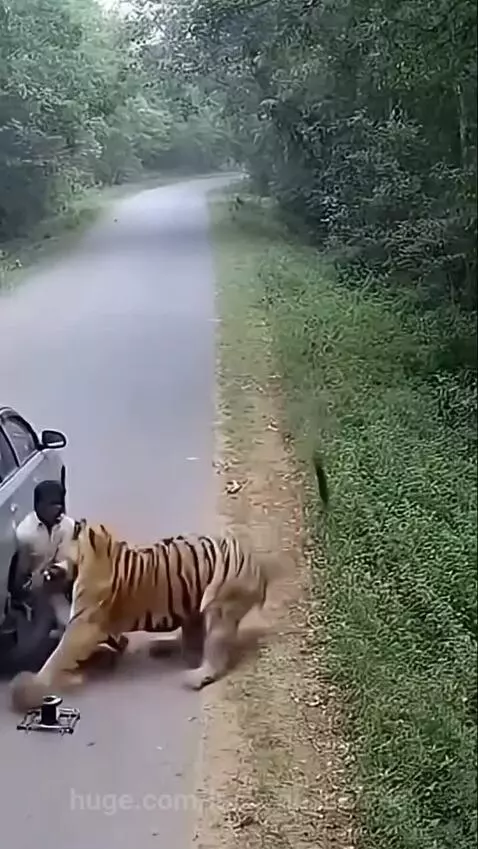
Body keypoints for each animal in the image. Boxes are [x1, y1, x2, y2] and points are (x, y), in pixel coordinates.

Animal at [9, 519, 283, 712]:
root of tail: (257, 566)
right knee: (191, 641)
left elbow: (55, 658)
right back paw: (164, 647)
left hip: (219, 605)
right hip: (193, 602)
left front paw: (28, 690)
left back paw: (196, 676)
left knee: (214, 649)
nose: (40, 570)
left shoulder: (83, 624)